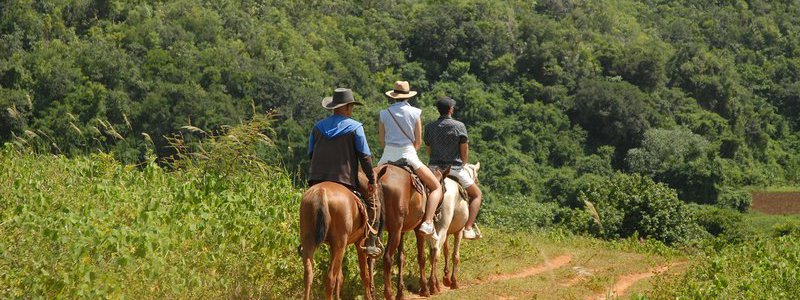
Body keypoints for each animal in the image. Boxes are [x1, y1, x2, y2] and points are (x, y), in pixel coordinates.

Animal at [376, 164, 438, 300]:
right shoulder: (418, 228)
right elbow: (421, 257)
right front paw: (424, 289)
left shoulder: (401, 231)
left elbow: (401, 258)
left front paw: (400, 292)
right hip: (395, 231)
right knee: (387, 257)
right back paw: (388, 293)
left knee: (369, 259)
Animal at [424, 162, 482, 292]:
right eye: (476, 179)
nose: (476, 183)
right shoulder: (458, 231)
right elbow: (455, 255)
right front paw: (453, 281)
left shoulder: (447, 232)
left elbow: (446, 251)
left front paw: (446, 278)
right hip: (443, 226)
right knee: (436, 251)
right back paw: (433, 285)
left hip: (432, 228)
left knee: (433, 251)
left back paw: (434, 283)